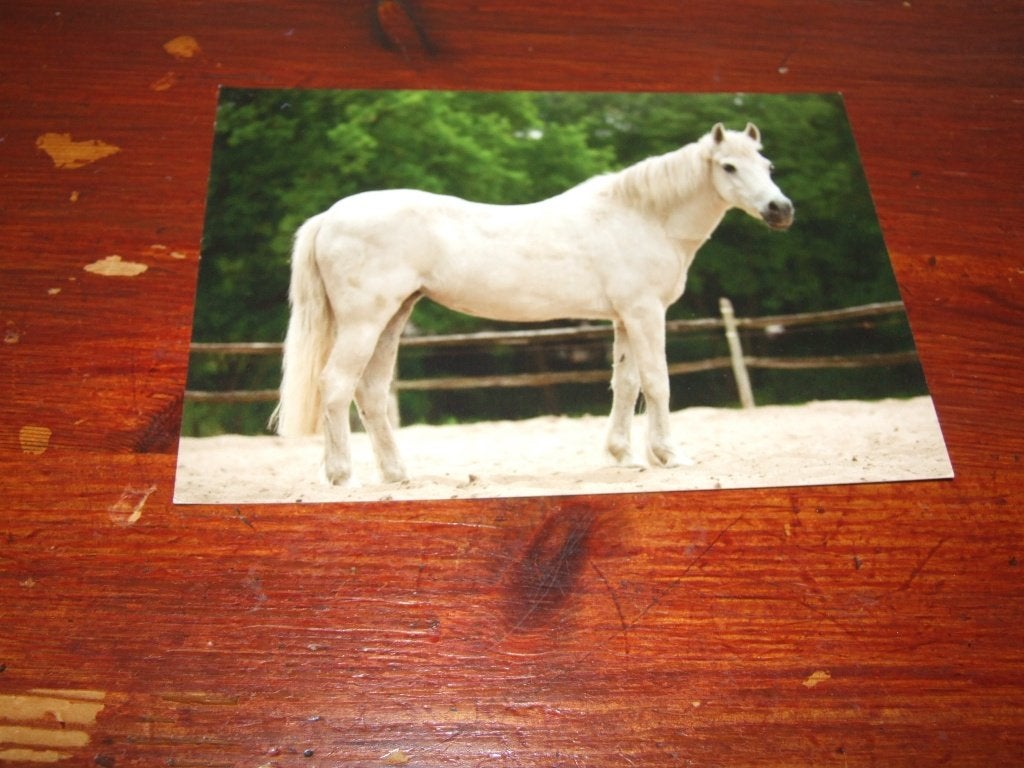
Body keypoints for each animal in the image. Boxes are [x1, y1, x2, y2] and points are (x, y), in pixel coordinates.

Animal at [270, 122, 793, 485]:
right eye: (728, 167)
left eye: (767, 166)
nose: (780, 210)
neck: (641, 216)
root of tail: (330, 215)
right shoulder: (646, 313)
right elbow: (657, 382)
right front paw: (669, 456)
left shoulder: (624, 317)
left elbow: (625, 385)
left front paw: (623, 456)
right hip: (364, 321)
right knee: (336, 386)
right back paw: (342, 477)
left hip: (394, 316)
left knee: (371, 393)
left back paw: (399, 475)